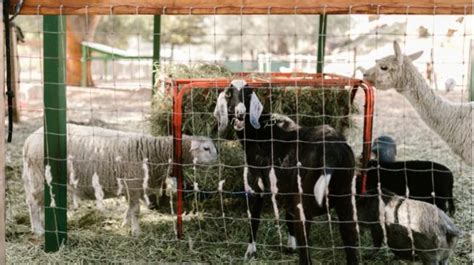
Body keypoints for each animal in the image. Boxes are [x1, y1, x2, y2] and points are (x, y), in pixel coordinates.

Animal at [20, 124, 217, 235]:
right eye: (206, 148)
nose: (219, 160)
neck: (153, 152)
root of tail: (29, 140)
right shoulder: (134, 183)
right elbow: (136, 210)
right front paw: (136, 232)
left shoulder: (131, 186)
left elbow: (130, 208)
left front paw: (125, 224)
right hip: (38, 177)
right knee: (33, 203)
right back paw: (38, 229)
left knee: (39, 203)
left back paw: (44, 224)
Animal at [213, 80, 358, 264]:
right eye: (229, 94)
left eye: (248, 94)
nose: (240, 113)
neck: (260, 131)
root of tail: (332, 153)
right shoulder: (286, 188)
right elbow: (287, 217)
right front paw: (290, 245)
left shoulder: (259, 184)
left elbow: (255, 216)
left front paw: (250, 251)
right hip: (345, 199)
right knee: (351, 245)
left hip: (305, 205)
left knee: (306, 254)